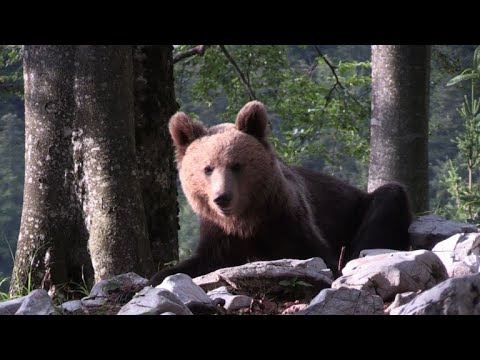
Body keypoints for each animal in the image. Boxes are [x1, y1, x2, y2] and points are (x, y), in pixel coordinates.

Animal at [147, 100, 412, 286]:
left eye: (236, 165)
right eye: (207, 168)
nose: (222, 198)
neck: (246, 220)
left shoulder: (287, 217)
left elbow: (317, 255)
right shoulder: (219, 233)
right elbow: (202, 262)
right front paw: (156, 278)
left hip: (358, 207)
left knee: (388, 199)